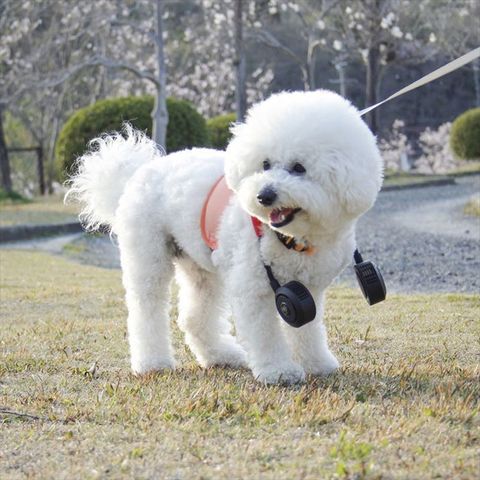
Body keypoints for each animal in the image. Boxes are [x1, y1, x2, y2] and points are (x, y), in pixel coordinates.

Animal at [67, 90, 383, 384]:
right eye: (265, 164)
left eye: (298, 168)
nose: (264, 196)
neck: (290, 237)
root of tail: (135, 174)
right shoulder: (253, 288)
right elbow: (266, 334)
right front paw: (278, 371)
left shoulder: (310, 288)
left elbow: (307, 329)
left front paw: (317, 364)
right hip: (148, 255)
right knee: (146, 309)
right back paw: (152, 363)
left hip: (200, 264)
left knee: (194, 317)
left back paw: (222, 355)